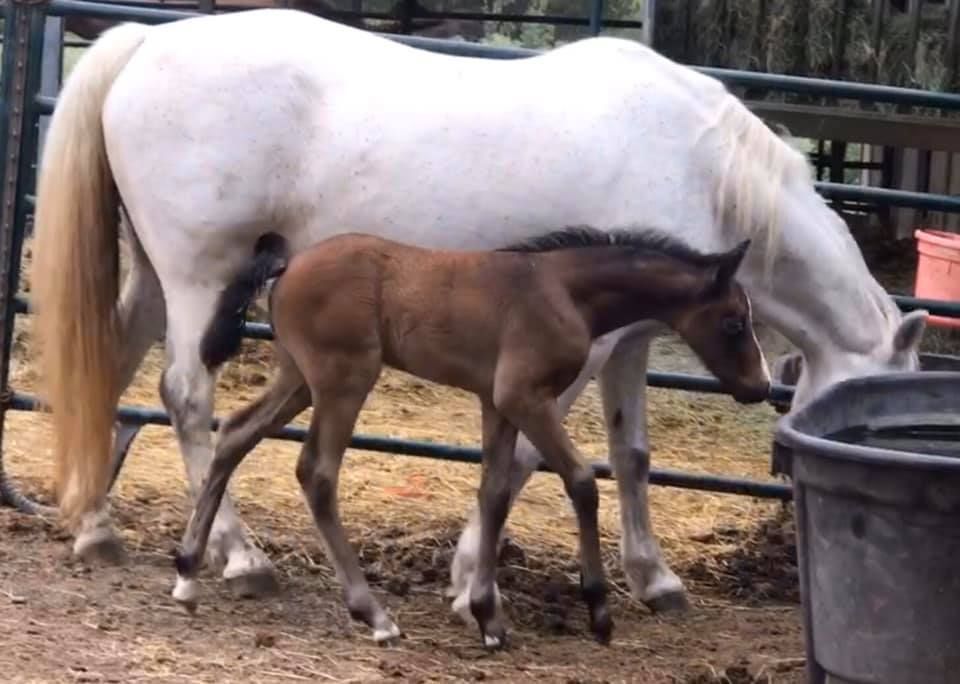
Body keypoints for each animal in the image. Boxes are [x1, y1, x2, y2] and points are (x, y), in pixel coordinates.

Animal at [170, 227, 770, 647]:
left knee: (237, 433)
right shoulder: (524, 397)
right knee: (316, 471)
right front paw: (598, 613)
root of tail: (290, 262)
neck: (562, 290)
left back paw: (188, 574)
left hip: (299, 378)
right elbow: (580, 481)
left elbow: (495, 493)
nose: (761, 386)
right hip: (344, 380)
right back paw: (375, 615)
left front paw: (487, 617)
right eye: (734, 323)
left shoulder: (496, 404)